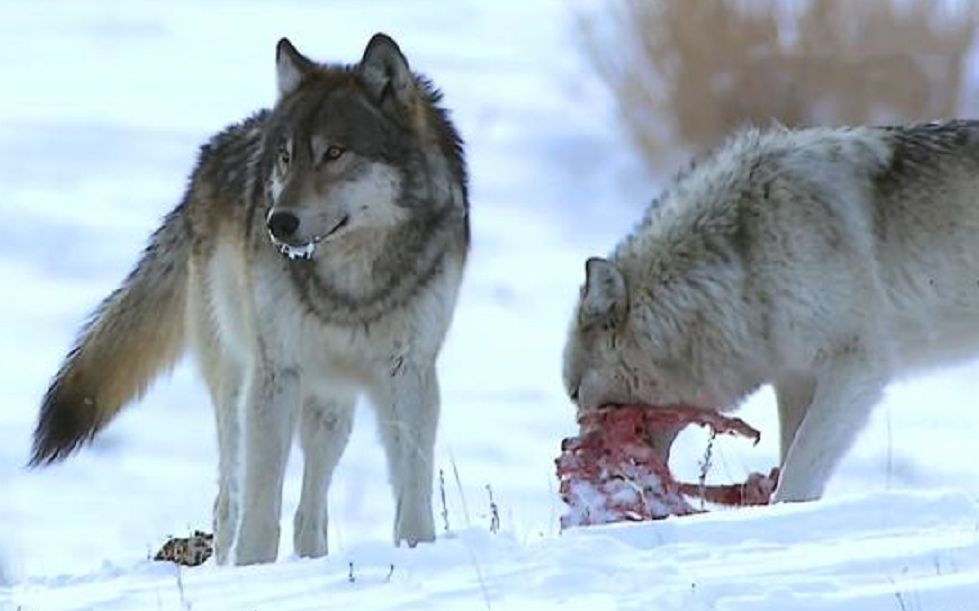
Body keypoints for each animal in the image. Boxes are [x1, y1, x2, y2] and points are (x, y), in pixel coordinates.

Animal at [29, 33, 470, 568]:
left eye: (335, 152)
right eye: (285, 157)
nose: (278, 222)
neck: (352, 285)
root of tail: (206, 159)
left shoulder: (410, 372)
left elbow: (413, 488)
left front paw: (418, 553)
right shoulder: (275, 371)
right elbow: (260, 507)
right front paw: (254, 571)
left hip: (330, 404)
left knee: (310, 506)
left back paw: (312, 559)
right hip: (236, 378)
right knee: (228, 499)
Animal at [564, 122, 979, 504]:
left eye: (574, 393)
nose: (573, 450)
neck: (743, 257)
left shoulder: (855, 364)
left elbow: (797, 474)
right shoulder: (795, 378)